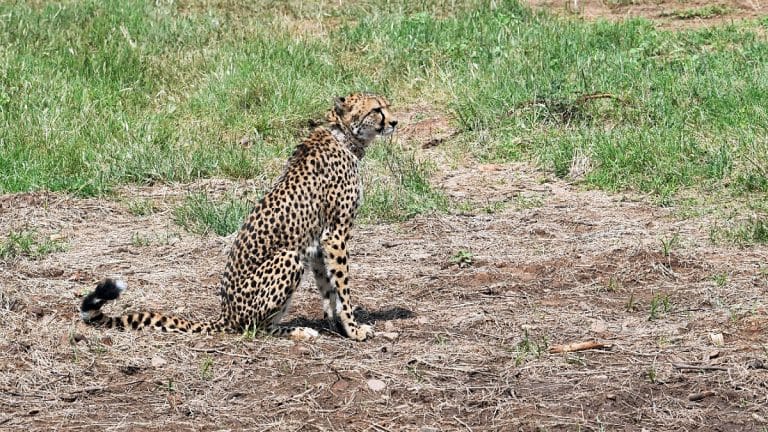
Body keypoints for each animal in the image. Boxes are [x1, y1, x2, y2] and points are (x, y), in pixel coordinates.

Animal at [79, 92, 398, 341]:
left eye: (387, 106)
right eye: (376, 109)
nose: (394, 122)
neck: (343, 136)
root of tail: (225, 314)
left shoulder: (319, 242)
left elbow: (328, 288)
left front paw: (337, 324)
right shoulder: (335, 234)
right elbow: (342, 287)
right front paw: (354, 329)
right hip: (289, 257)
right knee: (254, 327)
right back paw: (296, 331)